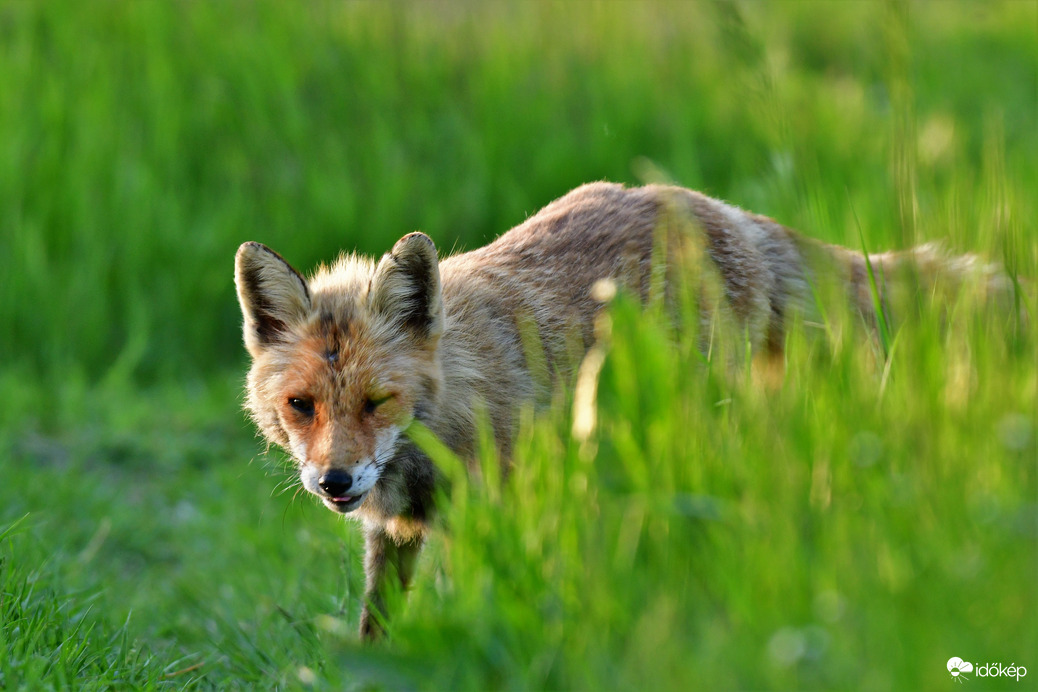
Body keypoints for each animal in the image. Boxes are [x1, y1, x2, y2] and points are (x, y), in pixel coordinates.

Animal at [231, 181, 1008, 643]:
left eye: (378, 402)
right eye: (301, 406)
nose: (334, 482)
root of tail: (714, 206)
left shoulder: (499, 508)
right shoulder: (392, 532)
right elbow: (377, 626)